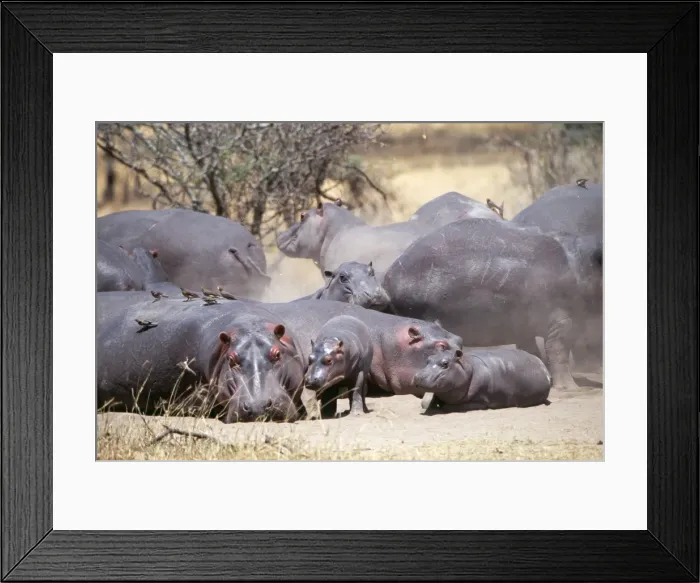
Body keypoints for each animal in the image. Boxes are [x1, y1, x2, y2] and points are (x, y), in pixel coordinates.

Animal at [382, 217, 583, 392]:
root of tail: (387, 280)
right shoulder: (563, 319)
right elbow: (558, 349)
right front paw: (570, 388)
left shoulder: (525, 326)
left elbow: (533, 349)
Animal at [414, 347, 552, 413]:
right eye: (428, 360)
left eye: (445, 363)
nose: (418, 376)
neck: (468, 368)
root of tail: (542, 364)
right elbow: (427, 402)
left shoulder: (481, 400)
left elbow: (449, 407)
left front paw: (442, 406)